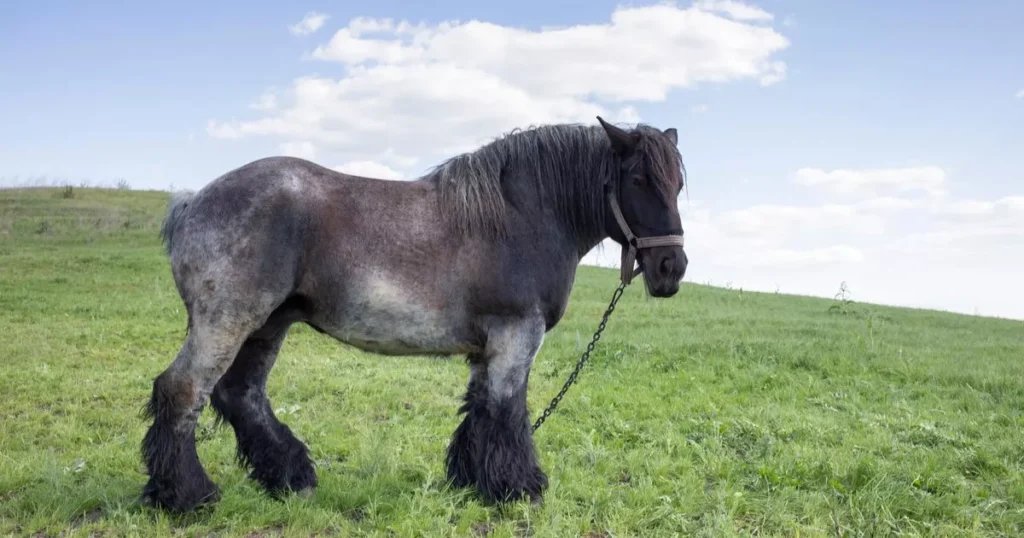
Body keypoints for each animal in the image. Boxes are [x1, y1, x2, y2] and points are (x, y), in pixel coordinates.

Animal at [142, 116, 688, 512]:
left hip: (267, 326)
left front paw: (471, 481)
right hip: (227, 322)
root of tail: (192, 202)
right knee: (182, 391)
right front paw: (520, 488)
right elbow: (508, 412)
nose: (672, 268)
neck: (524, 215)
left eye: (678, 185)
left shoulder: (488, 347)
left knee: (241, 394)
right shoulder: (517, 336)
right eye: (638, 178)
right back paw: (188, 495)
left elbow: (479, 411)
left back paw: (291, 477)